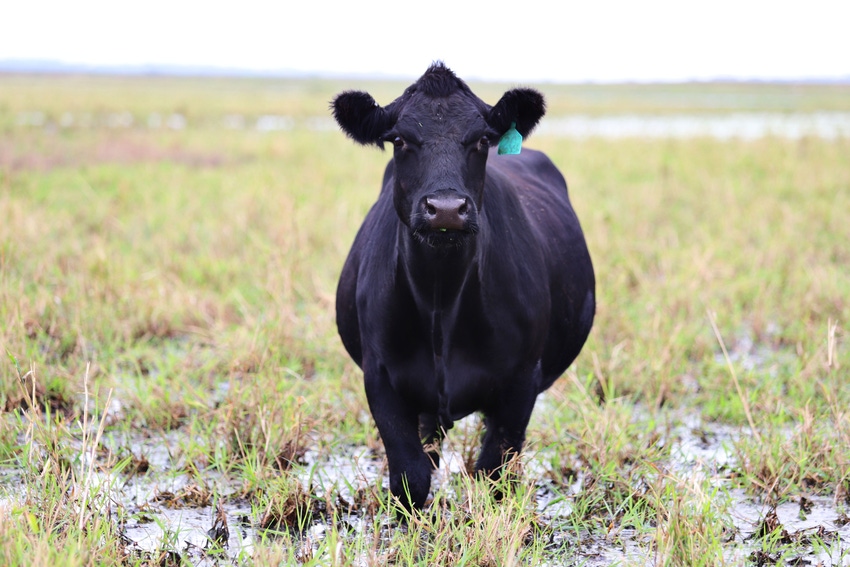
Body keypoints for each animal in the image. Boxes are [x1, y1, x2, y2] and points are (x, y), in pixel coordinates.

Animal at [330, 64, 588, 512]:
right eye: (400, 140)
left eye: (482, 139)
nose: (446, 209)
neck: (440, 295)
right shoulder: (381, 379)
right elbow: (411, 477)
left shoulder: (521, 382)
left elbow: (493, 475)